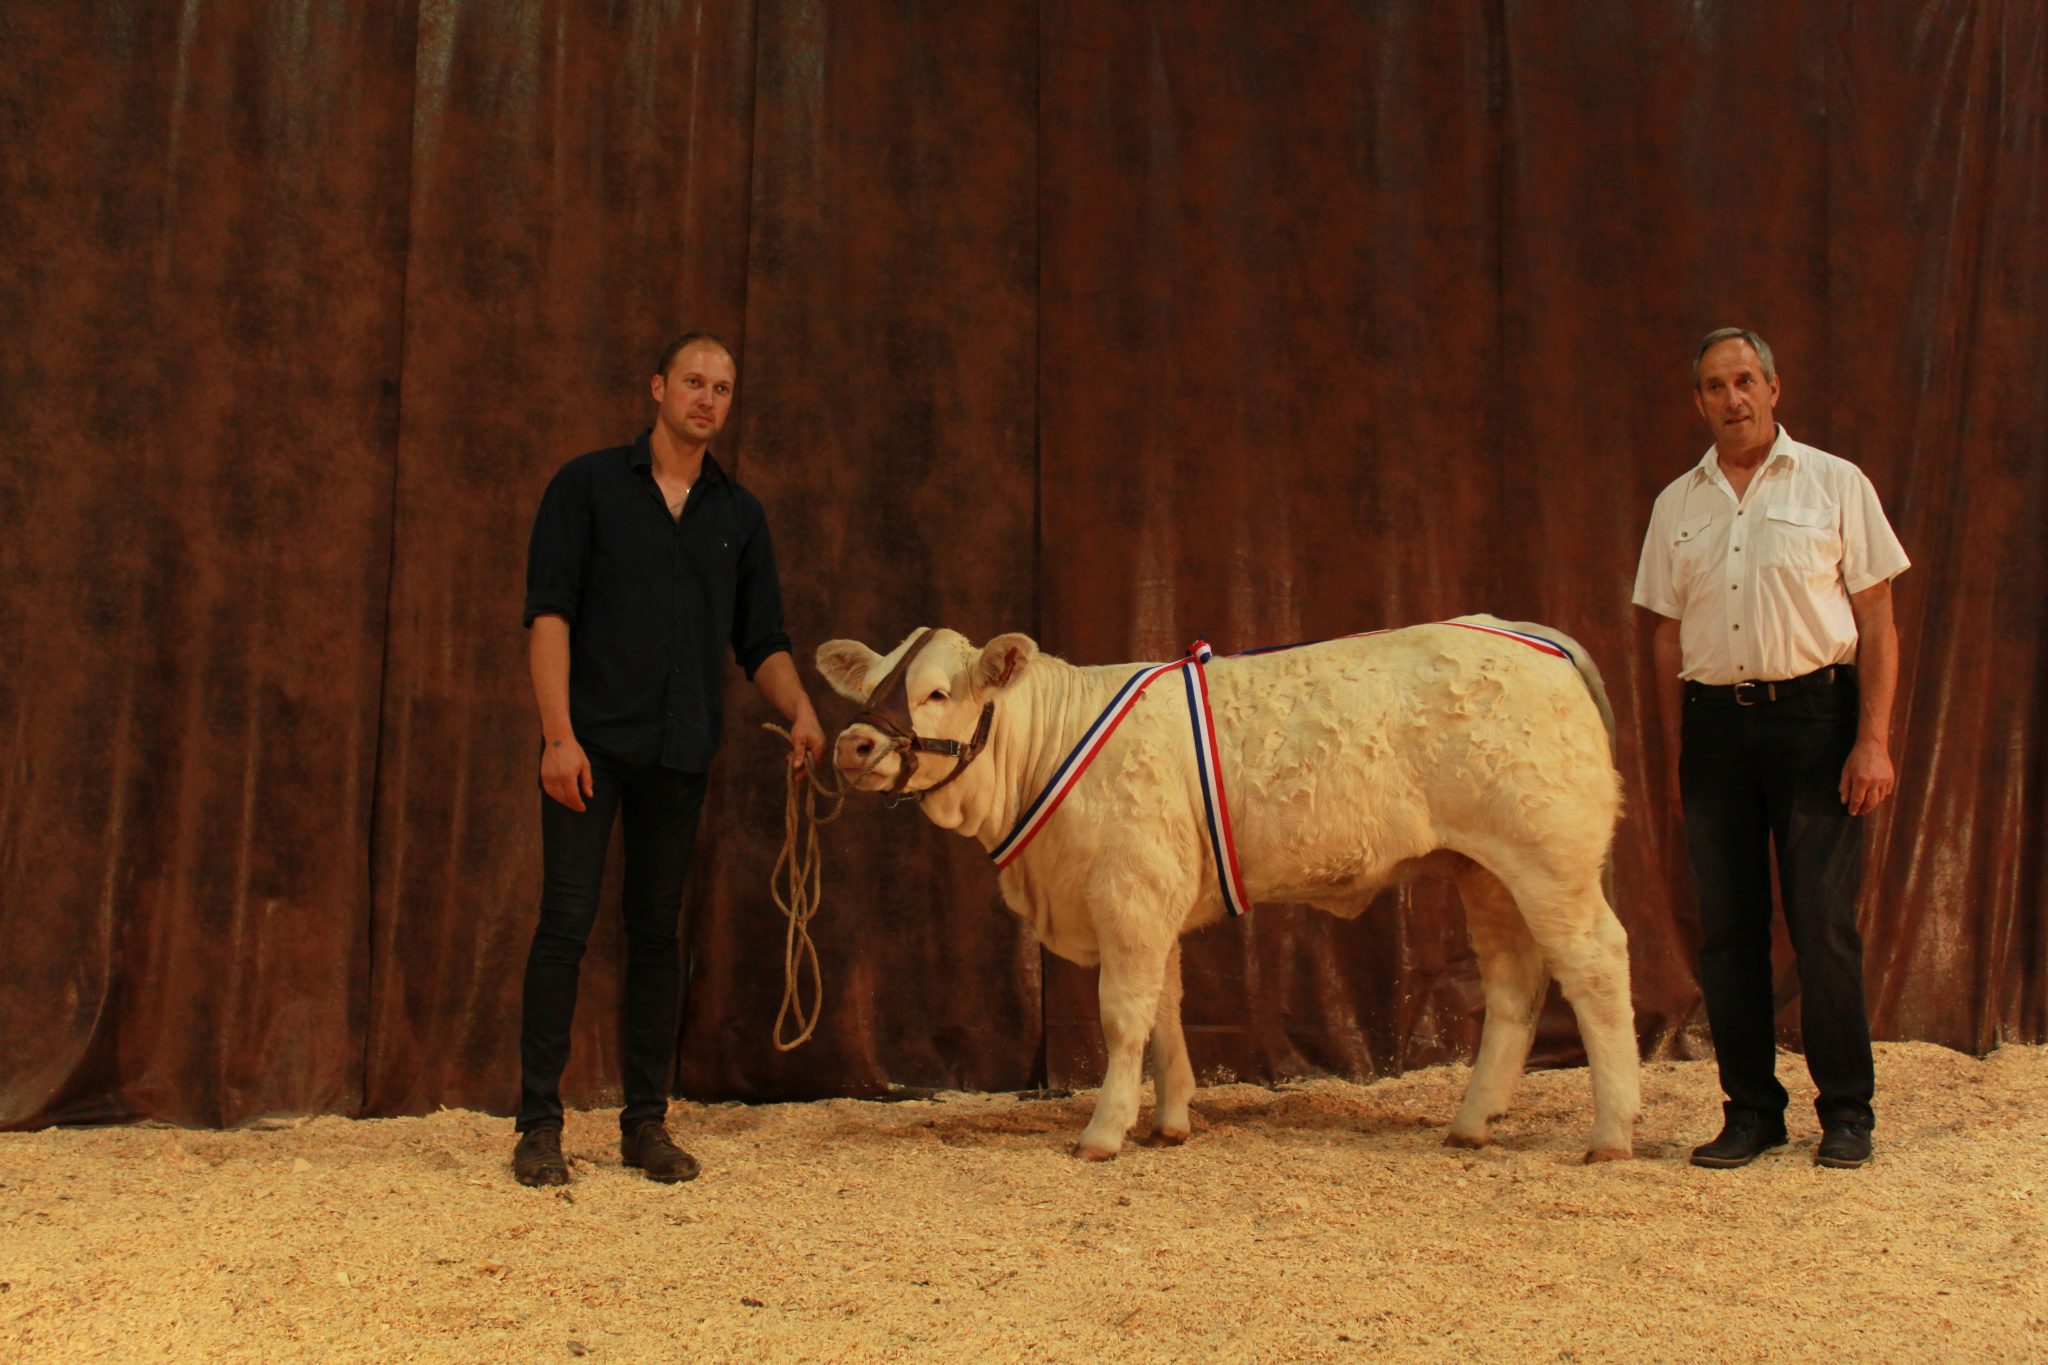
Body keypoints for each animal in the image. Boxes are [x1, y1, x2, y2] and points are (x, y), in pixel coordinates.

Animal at [815, 618, 1630, 1162]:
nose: (853, 744)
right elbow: (1164, 1010)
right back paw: (1472, 1122)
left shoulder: (1131, 889)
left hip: (1551, 860)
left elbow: (1123, 1015)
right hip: (1485, 871)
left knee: (1596, 966)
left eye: (935, 692)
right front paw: (1169, 1120)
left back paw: (1611, 1134)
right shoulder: (1154, 897)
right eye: (873, 685)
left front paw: (1104, 1132)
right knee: (1514, 985)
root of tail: (1528, 635)